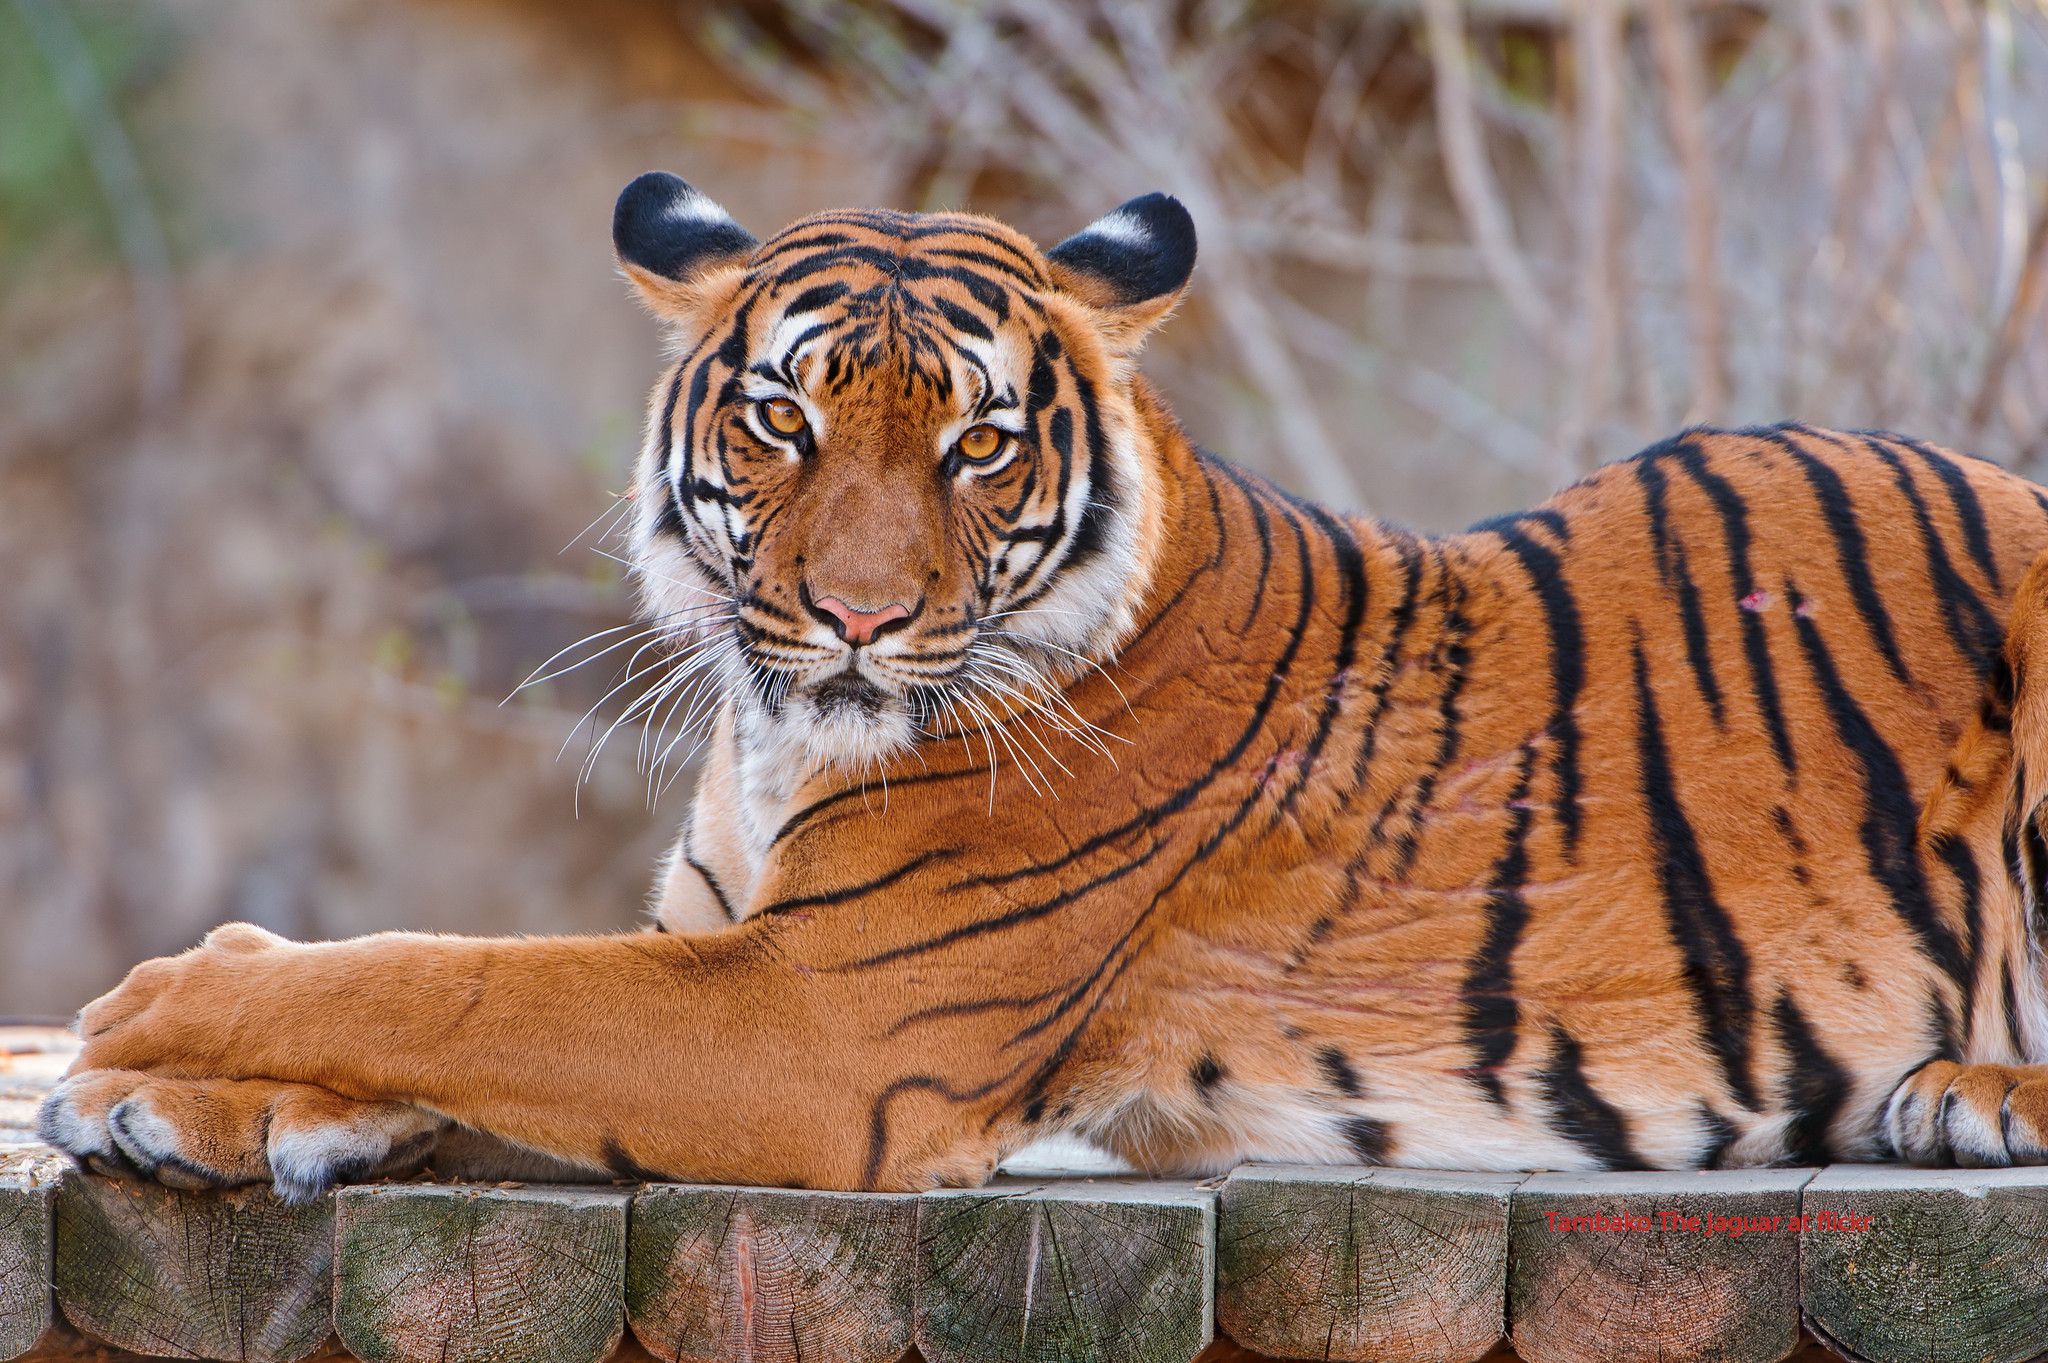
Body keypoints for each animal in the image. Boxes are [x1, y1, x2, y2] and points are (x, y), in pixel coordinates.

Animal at [37, 172, 2048, 1204]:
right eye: (782, 421)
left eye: (980, 443)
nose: (852, 617)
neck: (779, 743)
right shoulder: (723, 947)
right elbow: (468, 1024)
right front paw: (195, 1102)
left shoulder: (823, 1022)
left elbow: (462, 980)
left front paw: (159, 1005)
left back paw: (1974, 1090)